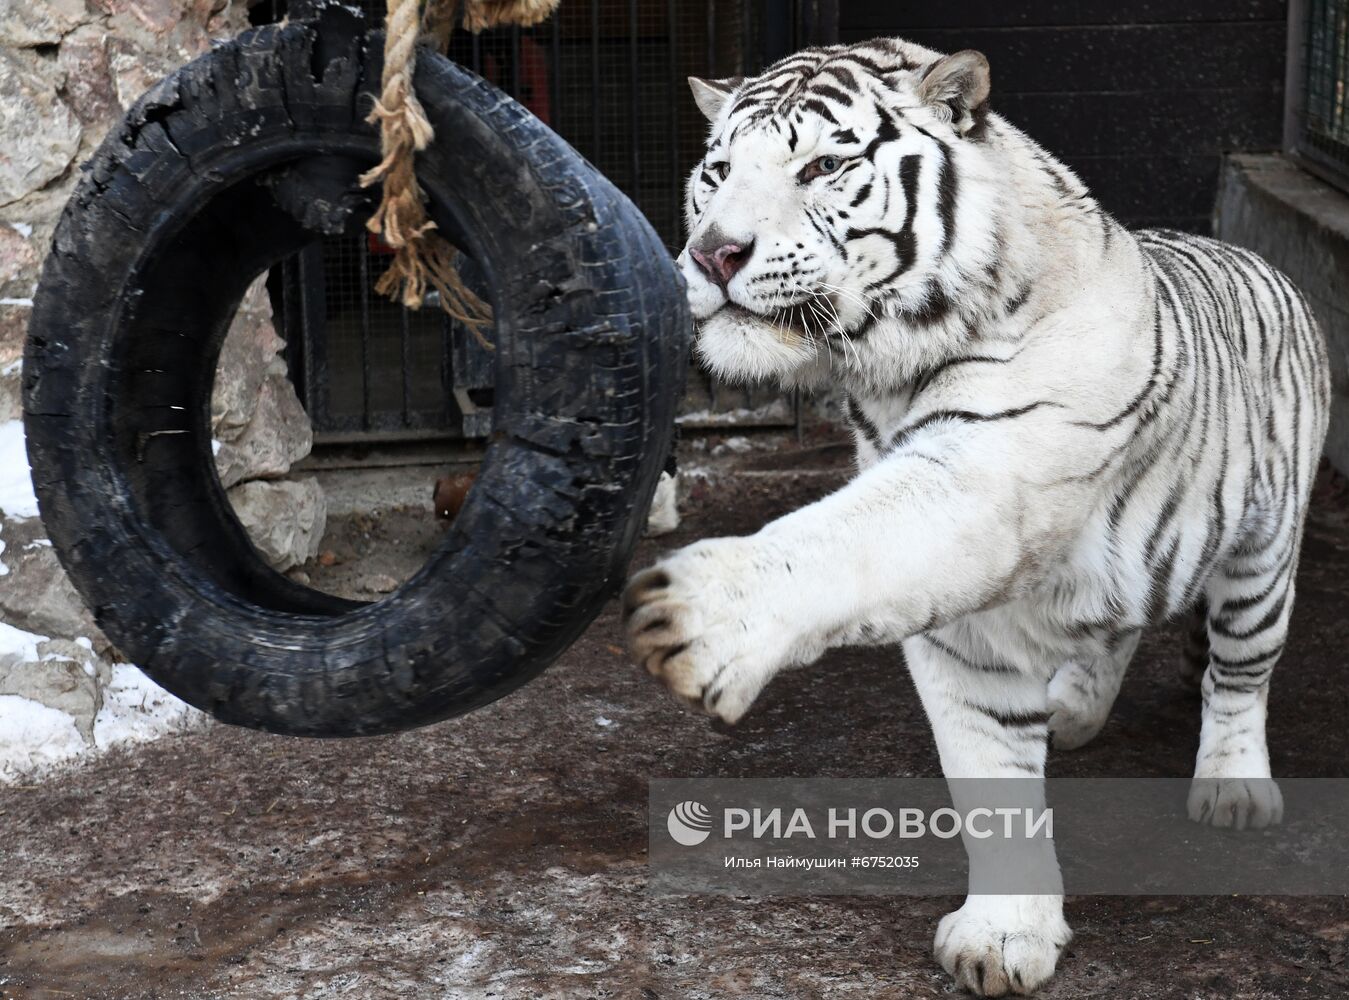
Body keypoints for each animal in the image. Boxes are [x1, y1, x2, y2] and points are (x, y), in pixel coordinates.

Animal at [625, 35, 1332, 993]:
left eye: (821, 167)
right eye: (717, 171)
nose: (712, 256)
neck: (884, 377)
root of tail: (1255, 258)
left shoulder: (987, 475)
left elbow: (850, 538)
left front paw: (703, 616)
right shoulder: (966, 627)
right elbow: (987, 769)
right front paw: (1003, 936)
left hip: (1262, 559)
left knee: (1237, 675)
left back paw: (1231, 786)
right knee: (1115, 625)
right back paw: (1075, 711)